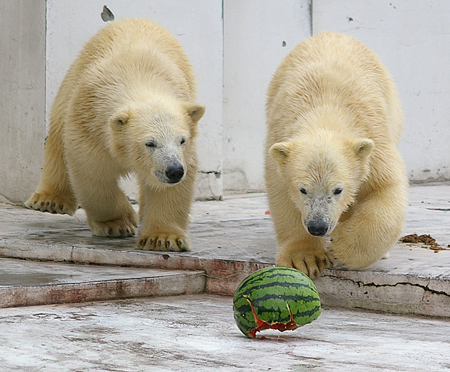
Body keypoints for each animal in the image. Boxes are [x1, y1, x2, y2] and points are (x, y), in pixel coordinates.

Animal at [25, 17, 205, 251]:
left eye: (182, 140)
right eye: (150, 143)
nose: (174, 171)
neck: (137, 78)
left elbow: (167, 189)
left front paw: (162, 238)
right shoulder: (91, 122)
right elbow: (94, 173)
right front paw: (118, 224)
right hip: (73, 79)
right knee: (57, 133)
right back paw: (49, 200)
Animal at [266, 32, 410, 278]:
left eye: (338, 190)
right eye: (303, 189)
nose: (318, 227)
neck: (325, 110)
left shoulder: (374, 141)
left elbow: (386, 188)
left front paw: (342, 246)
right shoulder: (279, 138)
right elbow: (281, 194)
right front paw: (305, 258)